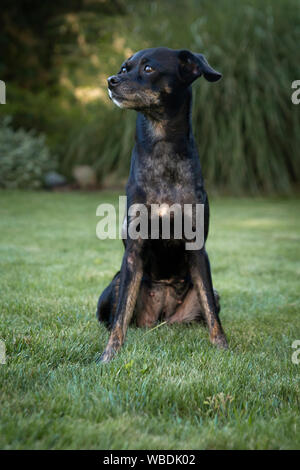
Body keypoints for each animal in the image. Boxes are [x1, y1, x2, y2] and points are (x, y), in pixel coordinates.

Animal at [96, 47, 227, 362]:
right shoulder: (133, 250)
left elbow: (211, 310)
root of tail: (161, 318)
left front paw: (222, 347)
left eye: (149, 68)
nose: (111, 80)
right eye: (124, 68)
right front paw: (109, 355)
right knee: (113, 315)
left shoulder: (197, 248)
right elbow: (120, 316)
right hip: (115, 284)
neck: (162, 145)